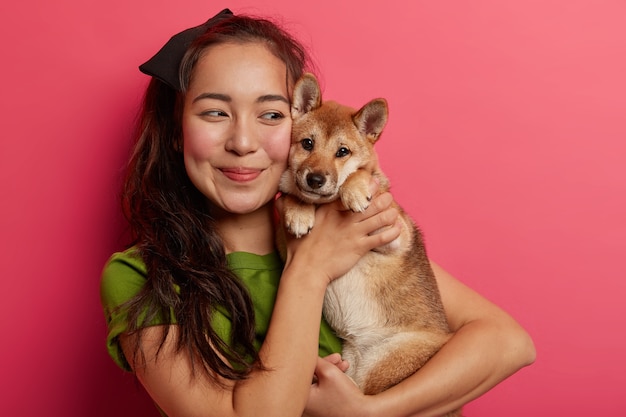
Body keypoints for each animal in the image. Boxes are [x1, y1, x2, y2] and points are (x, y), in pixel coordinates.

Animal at [276, 73, 460, 414]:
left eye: (343, 152)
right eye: (307, 144)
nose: (315, 179)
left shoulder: (395, 233)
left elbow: (358, 176)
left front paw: (356, 190)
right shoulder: (287, 252)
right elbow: (292, 200)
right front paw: (298, 210)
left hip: (386, 367)